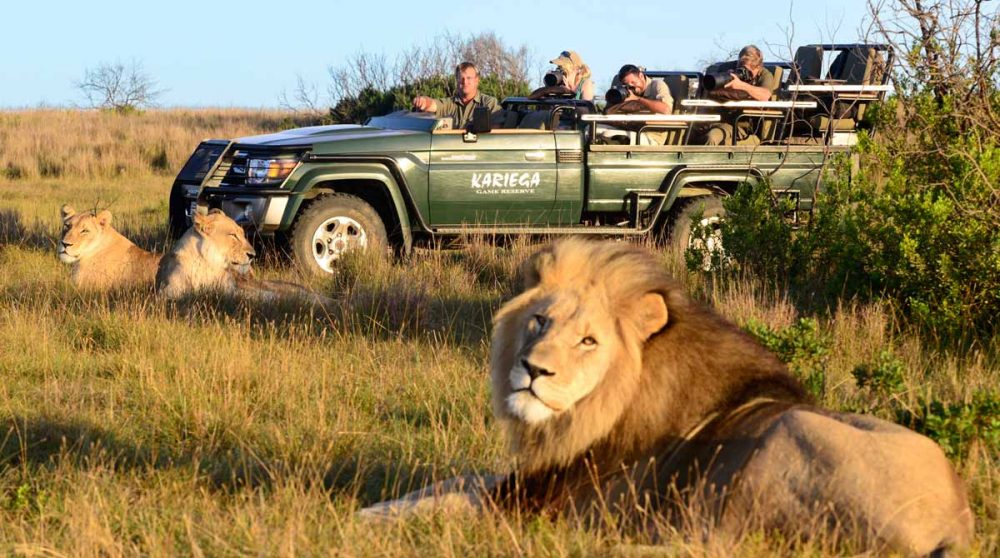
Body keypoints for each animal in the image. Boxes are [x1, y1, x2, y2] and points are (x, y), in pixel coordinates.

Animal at [156, 209, 333, 306]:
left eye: (242, 233)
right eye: (233, 235)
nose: (252, 255)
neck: (208, 264)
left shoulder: (232, 290)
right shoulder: (167, 292)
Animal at [363, 238, 973, 556]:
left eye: (589, 341)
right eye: (539, 321)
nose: (533, 370)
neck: (587, 417)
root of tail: (957, 523)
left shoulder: (542, 502)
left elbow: (450, 501)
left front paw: (365, 518)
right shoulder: (527, 479)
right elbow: (449, 482)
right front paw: (376, 505)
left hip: (783, 443)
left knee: (714, 545)